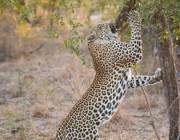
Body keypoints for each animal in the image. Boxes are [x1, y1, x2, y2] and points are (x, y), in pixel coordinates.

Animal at [55, 10, 162, 139]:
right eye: (101, 25)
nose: (111, 20)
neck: (95, 43)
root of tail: (60, 132)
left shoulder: (128, 80)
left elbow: (142, 79)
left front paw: (158, 76)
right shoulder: (133, 52)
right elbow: (136, 31)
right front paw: (134, 16)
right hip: (90, 135)